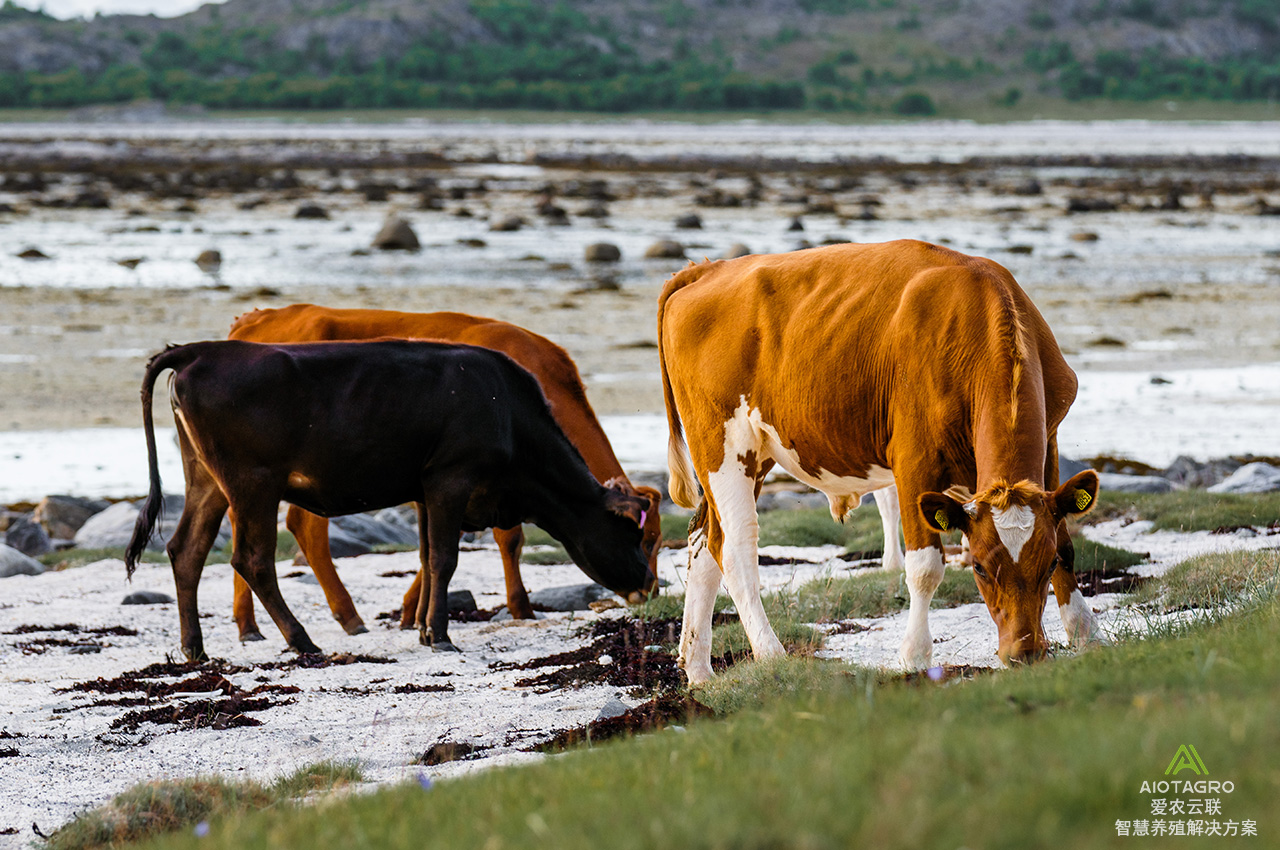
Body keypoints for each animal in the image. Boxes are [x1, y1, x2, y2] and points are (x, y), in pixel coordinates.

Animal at [124, 335, 655, 660]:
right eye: (630, 533)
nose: (649, 584)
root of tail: (200, 351)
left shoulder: (423, 491)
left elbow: (425, 556)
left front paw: (422, 628)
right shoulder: (451, 479)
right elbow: (443, 558)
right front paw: (439, 635)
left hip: (207, 480)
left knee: (187, 550)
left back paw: (195, 648)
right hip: (253, 483)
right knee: (251, 560)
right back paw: (302, 640)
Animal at [226, 305, 665, 637]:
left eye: (658, 541)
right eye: (640, 539)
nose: (651, 590)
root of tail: (258, 317)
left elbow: (432, 550)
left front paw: (413, 613)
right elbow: (505, 540)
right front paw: (520, 607)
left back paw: (253, 623)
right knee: (297, 527)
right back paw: (338, 616)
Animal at [660, 239, 1100, 686]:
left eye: (1047, 563)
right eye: (977, 567)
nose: (1024, 652)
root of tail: (707, 270)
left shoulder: (1051, 444)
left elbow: (1066, 540)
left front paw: (1085, 632)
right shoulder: (913, 460)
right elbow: (924, 566)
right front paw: (915, 654)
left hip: (756, 451)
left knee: (703, 540)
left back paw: (698, 667)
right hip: (722, 445)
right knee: (735, 548)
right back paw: (771, 654)